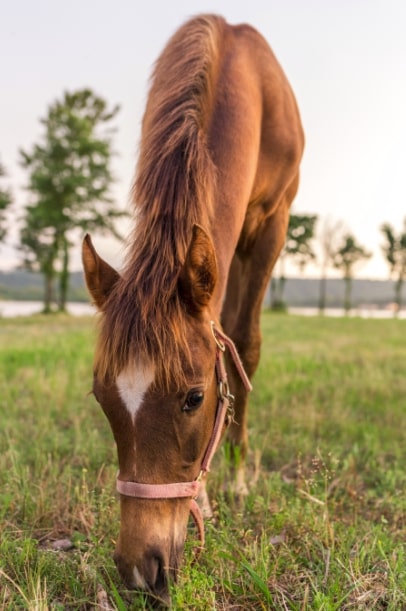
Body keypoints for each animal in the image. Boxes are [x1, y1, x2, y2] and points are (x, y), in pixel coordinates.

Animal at [82, 13, 302, 608]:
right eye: (101, 397)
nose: (140, 571)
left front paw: (239, 476)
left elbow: (244, 344)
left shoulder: (273, 225)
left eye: (194, 398)